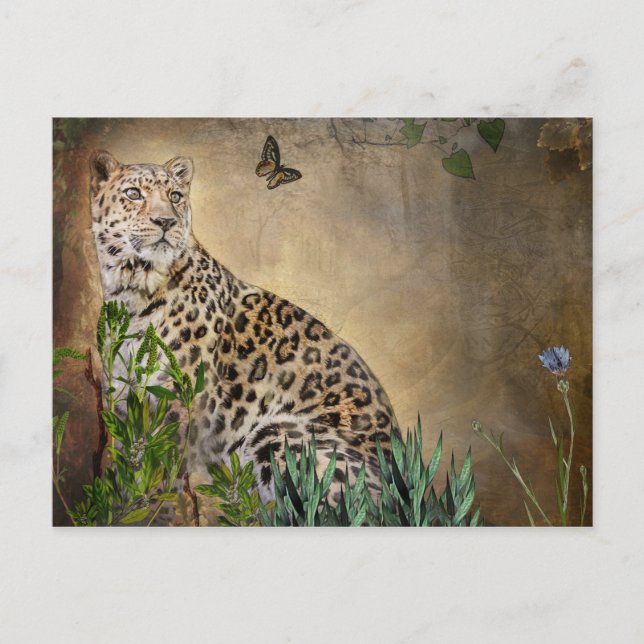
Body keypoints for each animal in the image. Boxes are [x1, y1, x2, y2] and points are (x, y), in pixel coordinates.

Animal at [89, 149, 400, 524]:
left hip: (277, 434)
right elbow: (129, 465)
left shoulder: (179, 399)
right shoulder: (124, 402)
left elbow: (163, 469)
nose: (166, 222)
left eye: (175, 196)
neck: (131, 290)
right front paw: (124, 508)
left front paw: (156, 513)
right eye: (133, 194)